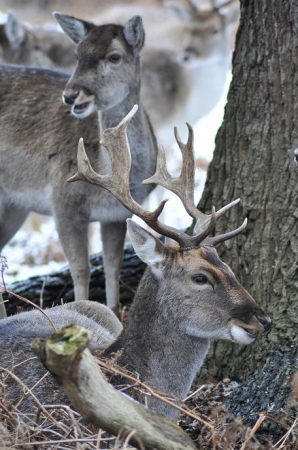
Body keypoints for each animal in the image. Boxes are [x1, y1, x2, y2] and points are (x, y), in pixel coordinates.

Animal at [0, 14, 158, 318]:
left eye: (114, 56)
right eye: (77, 54)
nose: (72, 95)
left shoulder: (115, 214)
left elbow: (112, 266)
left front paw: (113, 310)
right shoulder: (63, 201)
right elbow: (81, 269)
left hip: (14, 207)